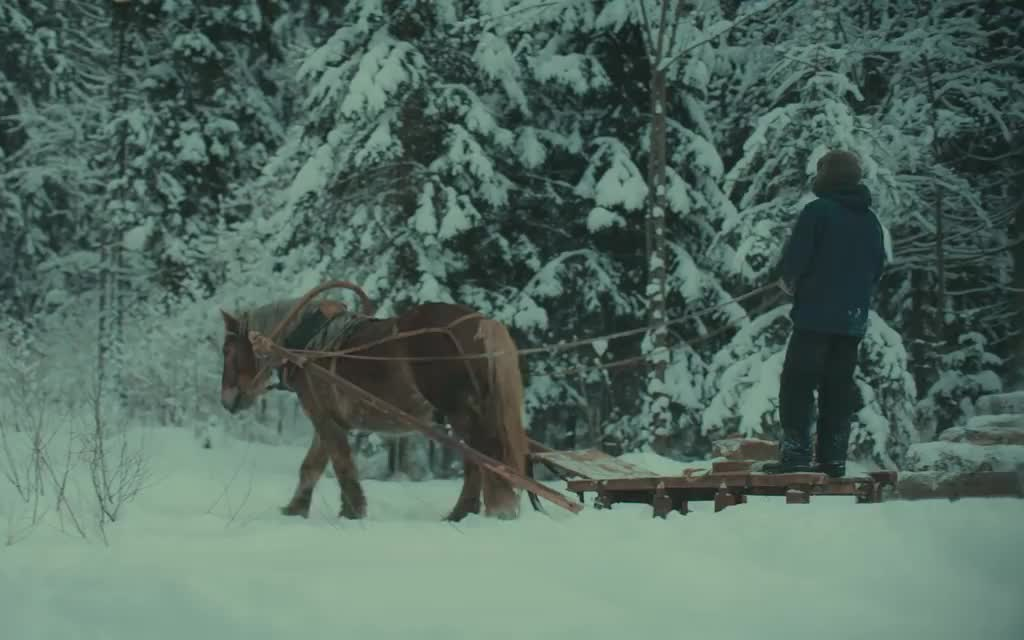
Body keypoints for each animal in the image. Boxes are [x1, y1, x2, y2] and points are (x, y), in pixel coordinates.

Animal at [219, 292, 532, 522]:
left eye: (227, 350)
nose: (226, 400)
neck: (305, 344)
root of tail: (482, 323)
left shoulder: (322, 416)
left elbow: (341, 462)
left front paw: (354, 511)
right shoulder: (331, 418)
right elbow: (312, 466)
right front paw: (296, 510)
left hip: (460, 412)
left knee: (480, 458)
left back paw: (471, 512)